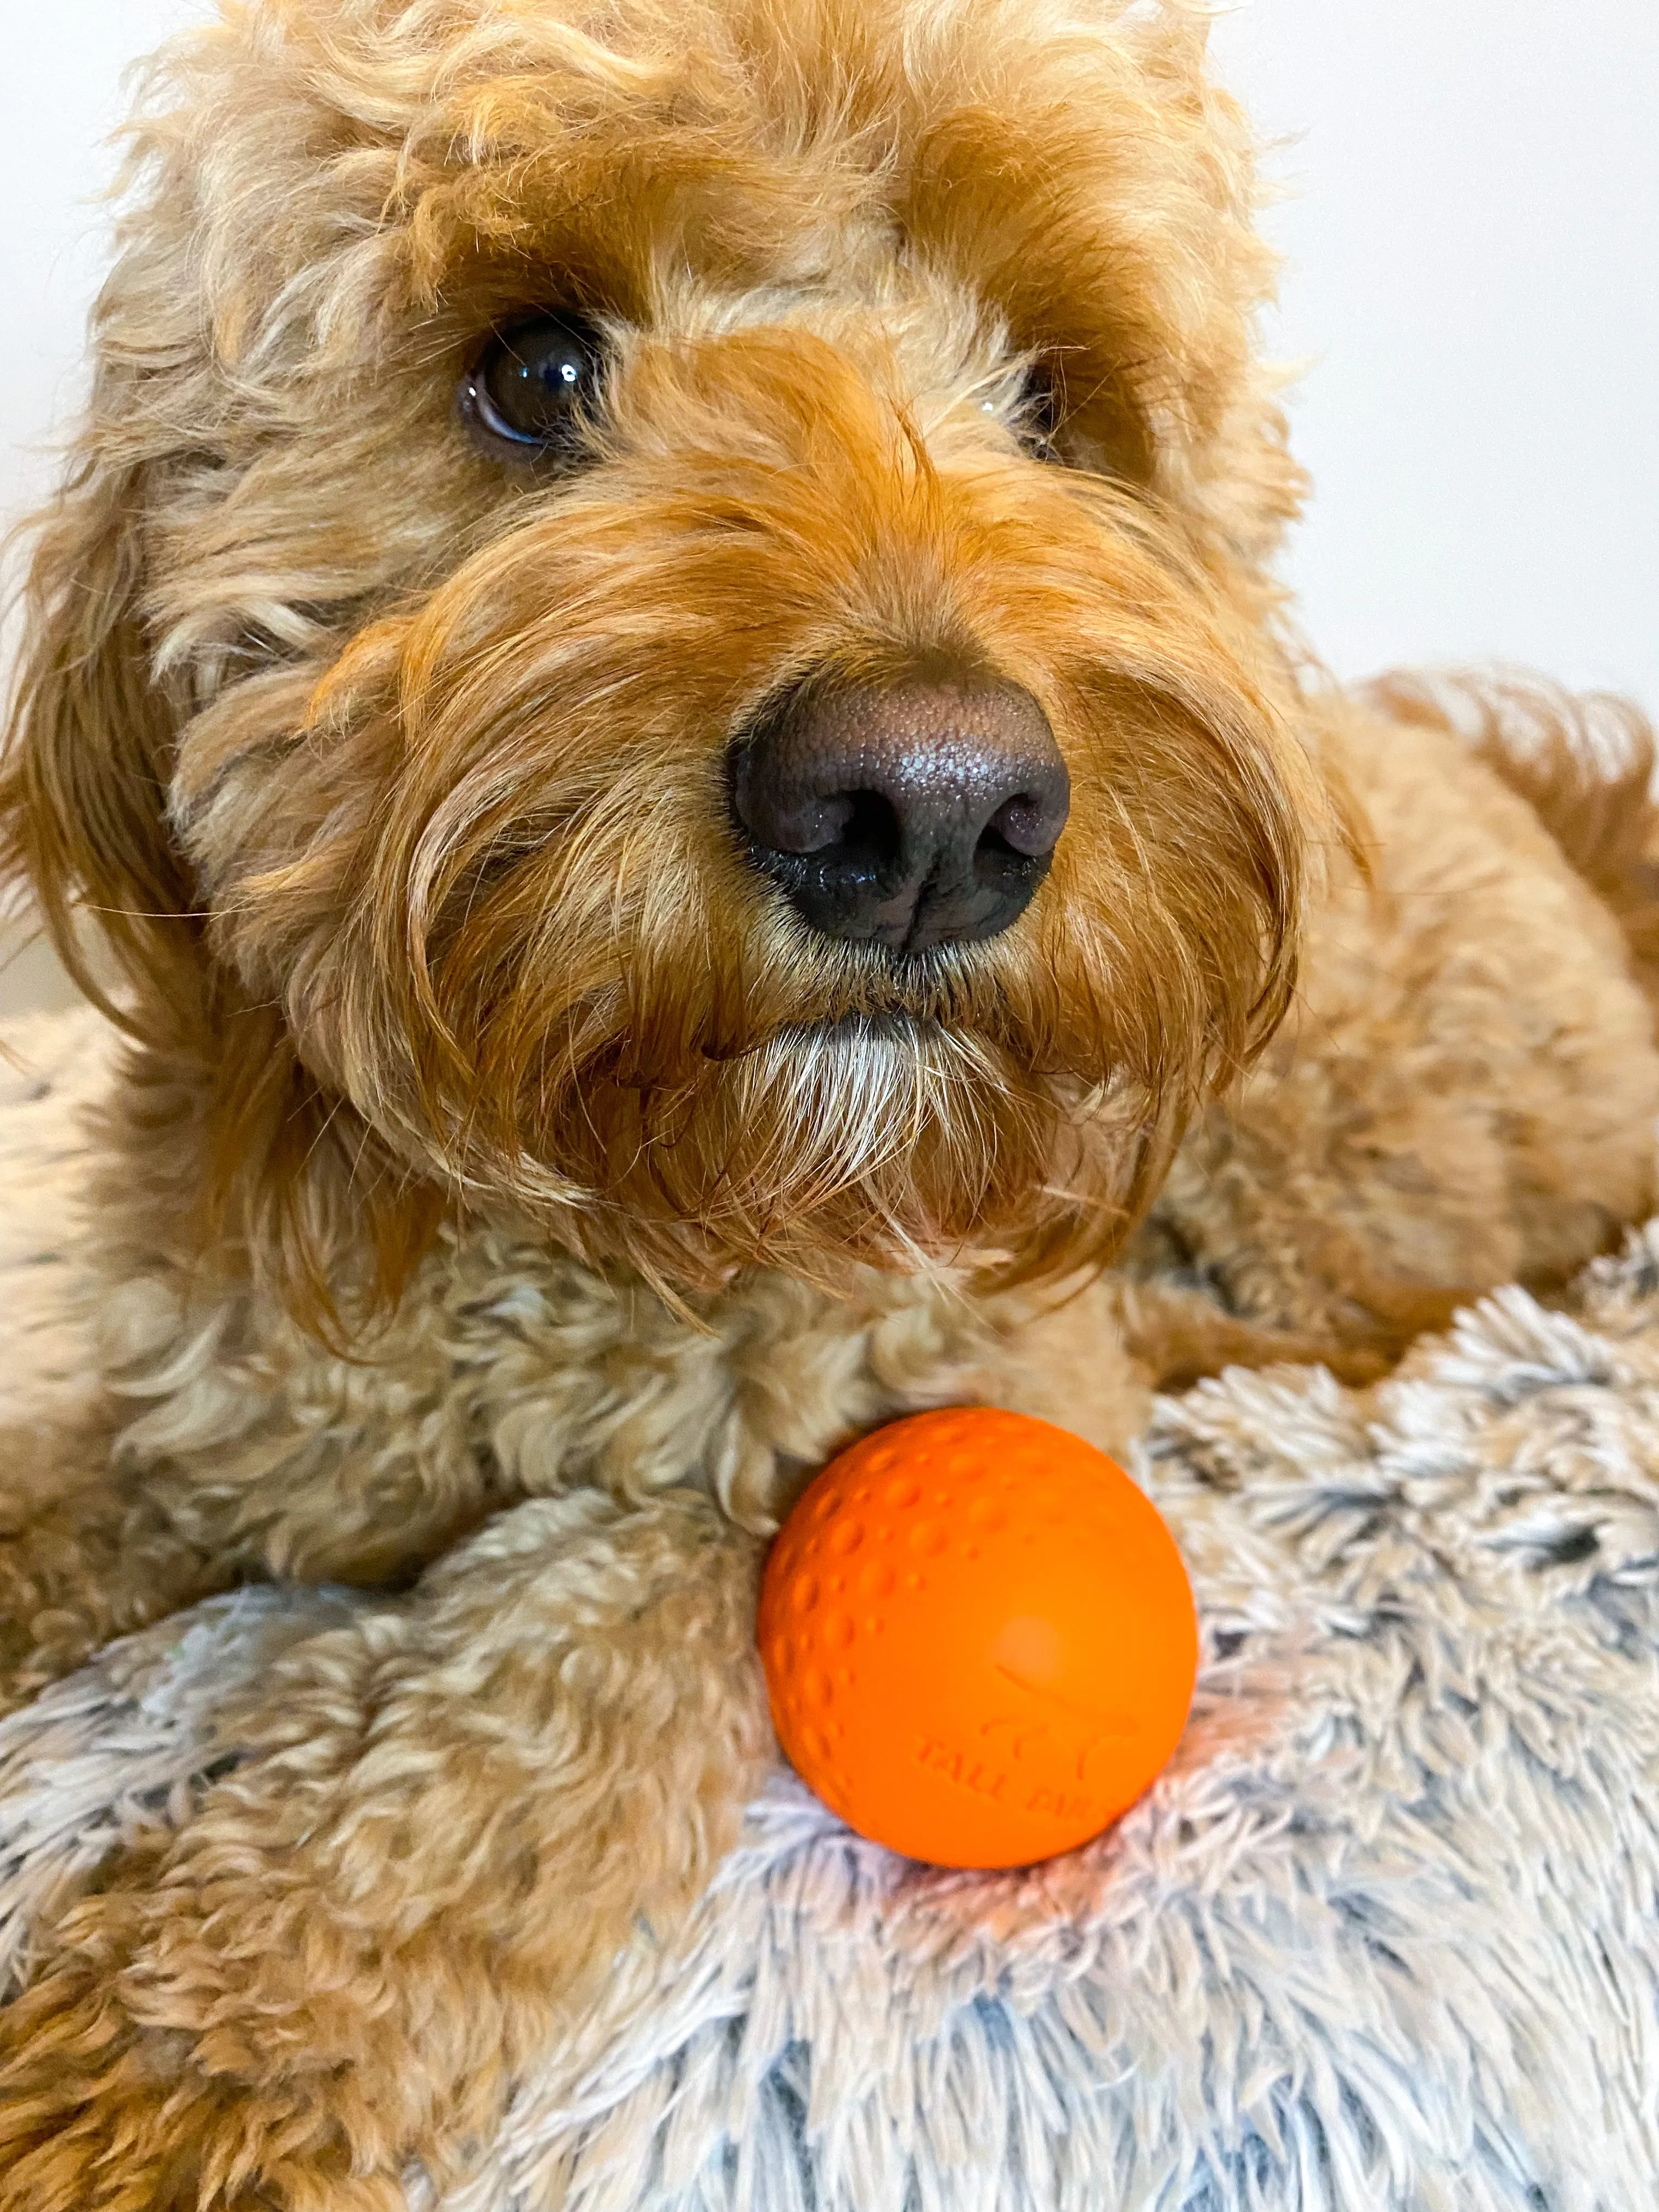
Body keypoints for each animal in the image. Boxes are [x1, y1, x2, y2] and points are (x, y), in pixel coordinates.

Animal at [3, 0, 1659, 2203]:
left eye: (1050, 397)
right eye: (535, 372)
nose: (929, 812)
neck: (604, 1207)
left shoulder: (899, 1419)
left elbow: (582, 1640)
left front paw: (195, 2032)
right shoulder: (215, 1418)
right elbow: (67, 1497)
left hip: (1348, 1144)